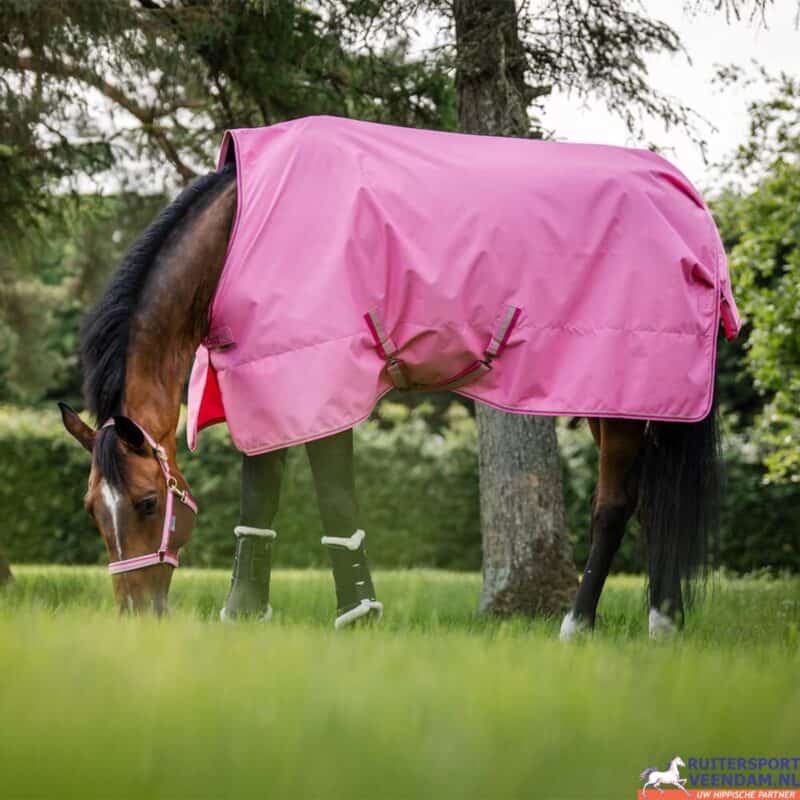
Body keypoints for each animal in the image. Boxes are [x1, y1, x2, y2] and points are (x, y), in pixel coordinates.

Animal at [59, 116, 738, 632]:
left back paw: (580, 626)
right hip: (620, 397)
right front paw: (244, 613)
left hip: (624, 395)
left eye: (148, 502)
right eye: (93, 509)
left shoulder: (320, 379)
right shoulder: (265, 378)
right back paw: (662, 620)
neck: (243, 229)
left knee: (614, 504)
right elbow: (261, 495)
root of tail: (689, 205)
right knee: (648, 500)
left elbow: (334, 499)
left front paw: (358, 613)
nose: (137, 614)